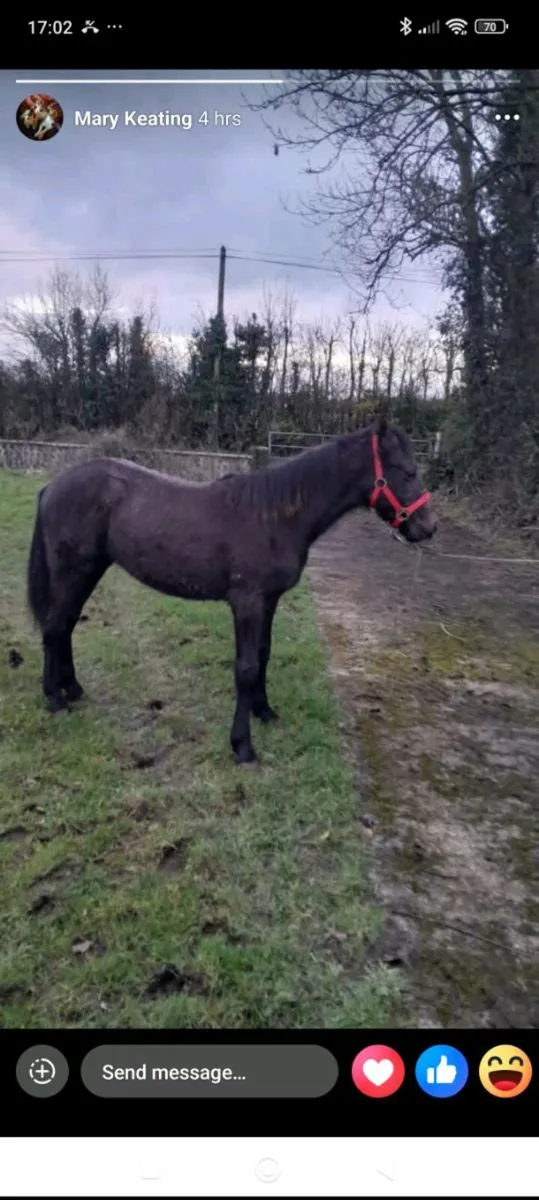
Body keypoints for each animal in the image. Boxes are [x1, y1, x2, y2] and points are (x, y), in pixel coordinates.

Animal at [26, 416, 436, 765]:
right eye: (408, 471)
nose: (428, 527)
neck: (275, 516)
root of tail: (52, 487)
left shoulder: (269, 601)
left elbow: (264, 655)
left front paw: (265, 711)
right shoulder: (247, 603)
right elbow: (246, 667)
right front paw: (242, 746)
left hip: (89, 570)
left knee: (66, 625)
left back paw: (73, 689)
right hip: (72, 571)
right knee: (54, 626)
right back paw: (54, 699)